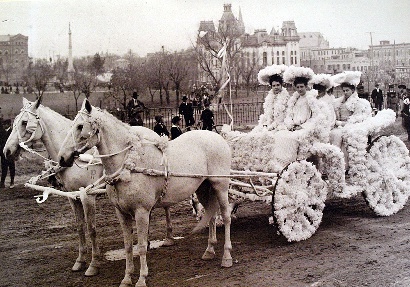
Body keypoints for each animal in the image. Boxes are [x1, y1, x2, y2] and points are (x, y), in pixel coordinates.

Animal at [2, 97, 176, 280]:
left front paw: (93, 264)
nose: (7, 151)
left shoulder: (87, 196)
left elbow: (91, 229)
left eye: (24, 122)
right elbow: (80, 227)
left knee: (166, 206)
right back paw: (148, 242)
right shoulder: (72, 197)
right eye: (14, 122)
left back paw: (168, 237)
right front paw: (80, 261)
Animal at [57, 99, 232, 287]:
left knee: (226, 216)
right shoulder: (121, 213)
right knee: (211, 214)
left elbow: (140, 246)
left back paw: (227, 256)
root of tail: (216, 137)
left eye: (80, 126)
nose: (62, 158)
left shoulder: (141, 212)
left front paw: (141, 278)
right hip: (203, 188)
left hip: (220, 186)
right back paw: (209, 250)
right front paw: (127, 278)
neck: (129, 164)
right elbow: (128, 246)